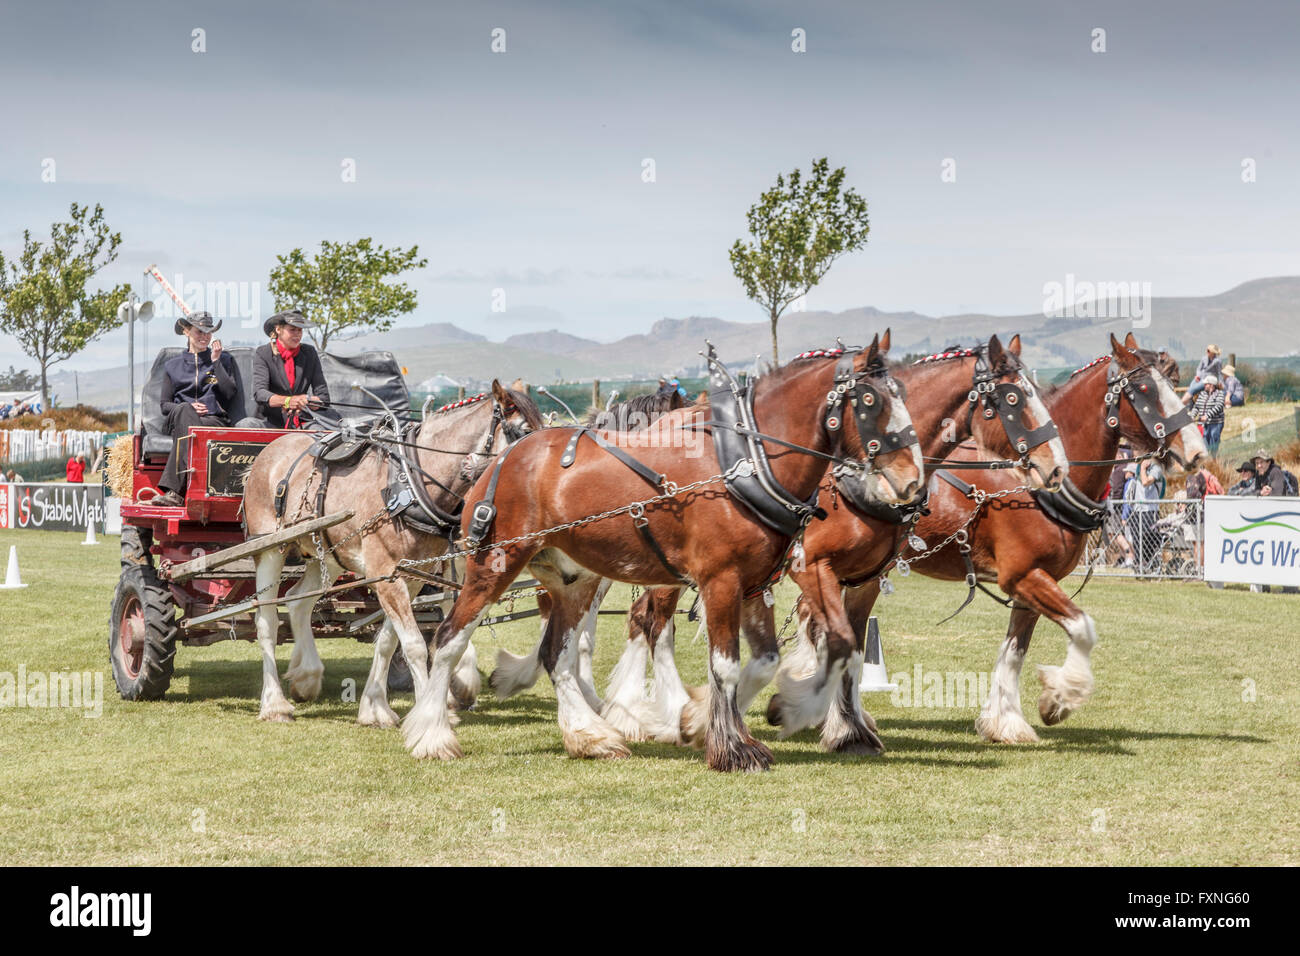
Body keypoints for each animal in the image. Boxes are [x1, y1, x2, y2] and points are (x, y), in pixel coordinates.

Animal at [240, 380, 543, 724]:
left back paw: (307, 677)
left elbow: (388, 640)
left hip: (329, 555)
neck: (411, 485)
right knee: (266, 620)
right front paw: (429, 713)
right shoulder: (387, 574)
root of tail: (268, 452)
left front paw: (375, 708)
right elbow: (413, 644)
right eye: (523, 432)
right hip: (269, 548)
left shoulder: (410, 576)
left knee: (298, 601)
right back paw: (274, 703)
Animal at [402, 332, 925, 771]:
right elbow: (726, 665)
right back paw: (433, 734)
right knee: (447, 638)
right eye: (871, 400)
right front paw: (735, 746)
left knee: (557, 655)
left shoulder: (753, 583)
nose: (913, 482)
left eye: (903, 392)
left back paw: (589, 736)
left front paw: (701, 722)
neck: (745, 463)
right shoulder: (720, 580)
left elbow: (765, 662)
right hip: (494, 564)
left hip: (573, 578)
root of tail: (502, 460)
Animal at [789, 331, 1209, 746]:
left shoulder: (1034, 583)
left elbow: (1014, 651)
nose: (1198, 452)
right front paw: (1059, 699)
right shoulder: (1023, 575)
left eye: (1173, 381)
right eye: (1144, 389)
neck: (1033, 488)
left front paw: (1006, 722)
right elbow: (1081, 628)